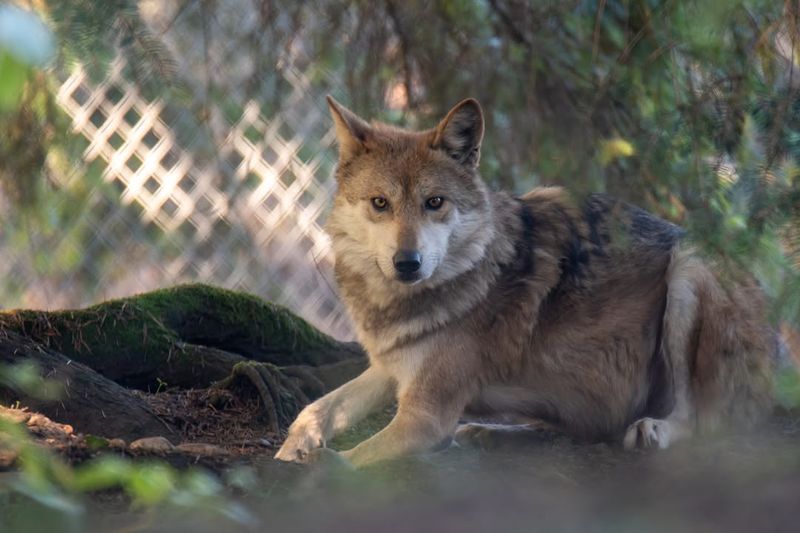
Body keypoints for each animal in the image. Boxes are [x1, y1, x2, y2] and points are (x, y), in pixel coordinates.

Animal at [276, 95, 776, 466]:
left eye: (435, 202)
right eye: (380, 203)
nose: (408, 263)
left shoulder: (425, 417)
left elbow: (350, 460)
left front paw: (316, 471)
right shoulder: (391, 368)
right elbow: (316, 408)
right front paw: (291, 450)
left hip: (689, 268)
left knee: (703, 422)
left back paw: (655, 429)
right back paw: (489, 433)